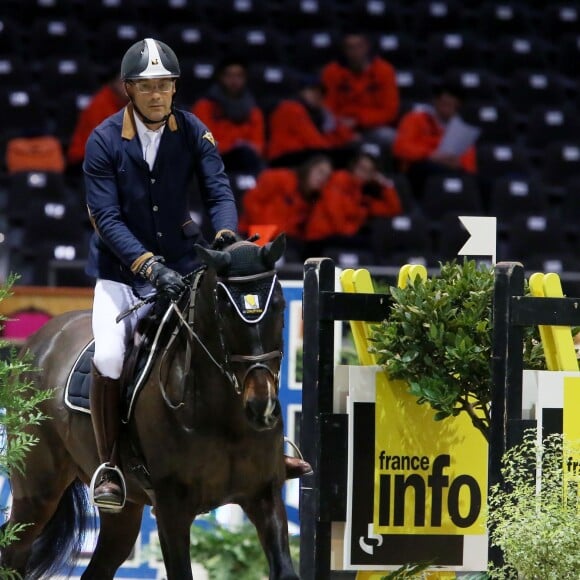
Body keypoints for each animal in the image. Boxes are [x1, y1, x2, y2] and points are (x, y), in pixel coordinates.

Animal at [1, 234, 300, 580]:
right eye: (225, 310)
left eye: (279, 304)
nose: (262, 407)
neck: (224, 416)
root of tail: (42, 339)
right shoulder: (172, 509)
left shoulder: (264, 495)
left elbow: (285, 569)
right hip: (37, 492)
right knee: (13, 552)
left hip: (123, 510)